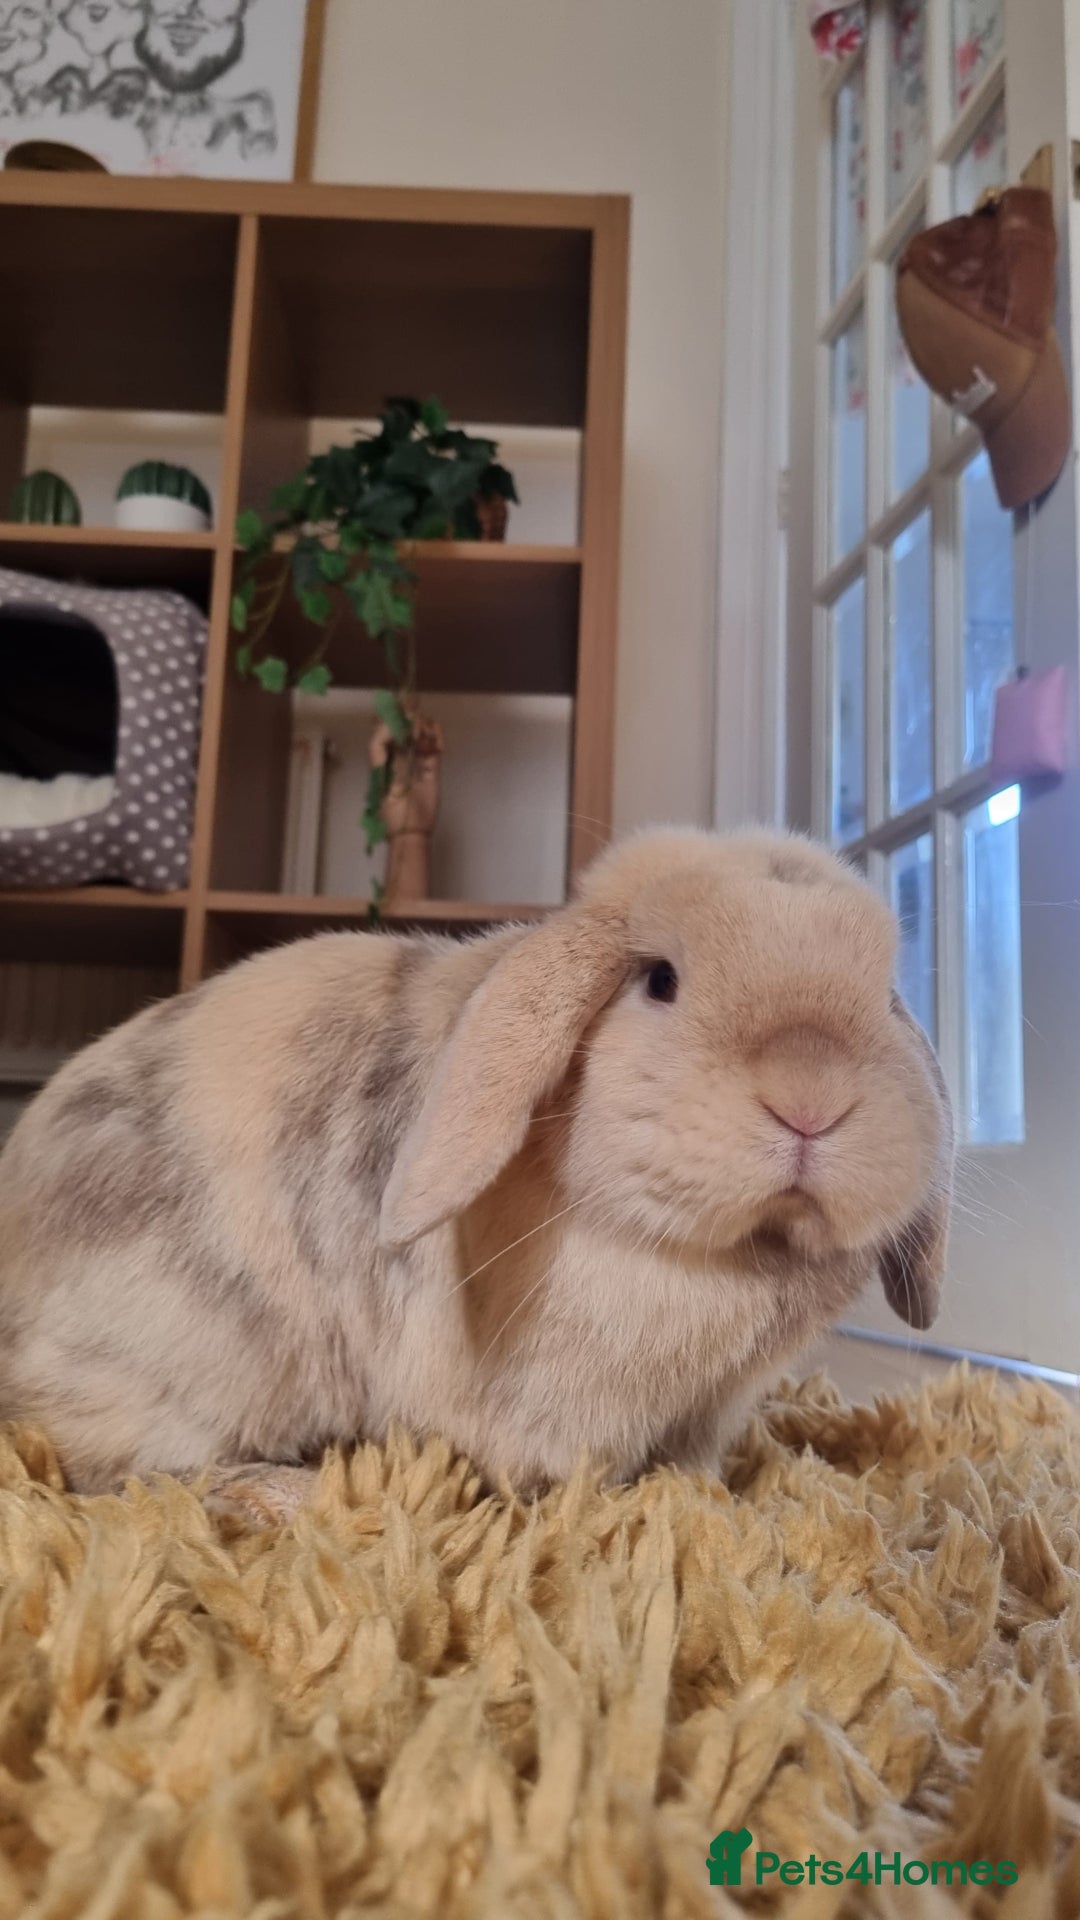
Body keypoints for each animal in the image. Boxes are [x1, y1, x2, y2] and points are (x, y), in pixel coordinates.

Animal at [0, 829, 952, 1519]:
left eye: (883, 995)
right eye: (660, 981)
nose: (812, 1100)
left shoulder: (708, 1413)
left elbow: (698, 1468)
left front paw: (715, 1504)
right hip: (179, 1363)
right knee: (129, 1472)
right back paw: (285, 1498)